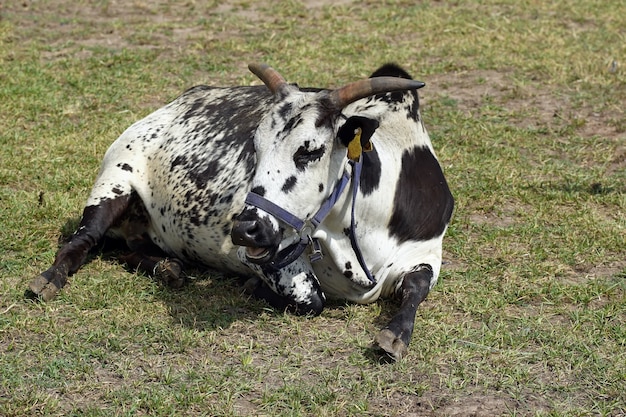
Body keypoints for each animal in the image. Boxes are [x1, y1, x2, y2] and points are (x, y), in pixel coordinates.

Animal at [29, 63, 450, 360]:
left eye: (310, 150)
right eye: (255, 147)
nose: (246, 228)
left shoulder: (426, 253)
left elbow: (415, 289)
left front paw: (395, 335)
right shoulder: (266, 258)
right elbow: (311, 299)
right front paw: (255, 288)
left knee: (128, 249)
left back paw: (165, 267)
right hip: (114, 182)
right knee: (83, 240)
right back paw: (48, 279)